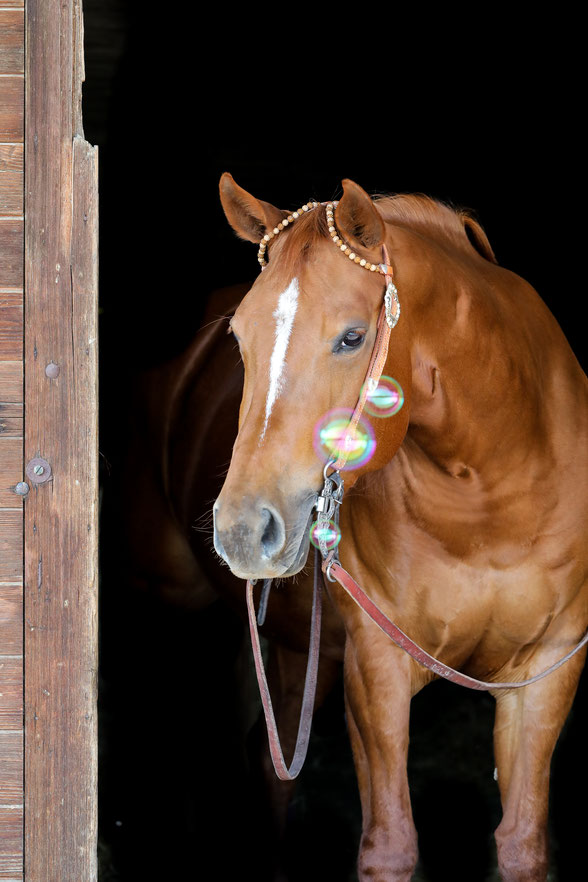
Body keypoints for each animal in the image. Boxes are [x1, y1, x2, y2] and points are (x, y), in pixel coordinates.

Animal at [210, 173, 588, 882]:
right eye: (239, 338)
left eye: (352, 337)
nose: (244, 530)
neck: (487, 497)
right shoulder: (375, 666)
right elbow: (390, 844)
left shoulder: (549, 668)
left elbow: (522, 841)